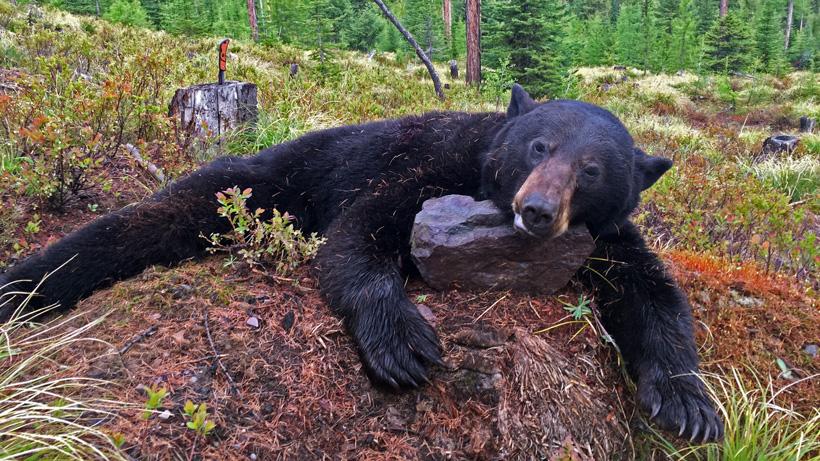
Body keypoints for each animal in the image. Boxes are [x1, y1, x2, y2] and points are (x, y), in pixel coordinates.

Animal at [0, 84, 722, 442]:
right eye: (539, 145)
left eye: (591, 169)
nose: (538, 210)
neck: (479, 173)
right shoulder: (419, 172)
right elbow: (357, 239)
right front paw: (401, 340)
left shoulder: (609, 240)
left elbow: (656, 298)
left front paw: (689, 402)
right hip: (263, 180)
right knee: (146, 221)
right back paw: (23, 283)